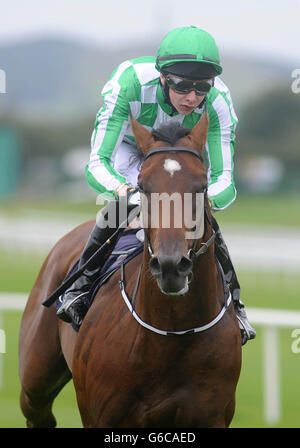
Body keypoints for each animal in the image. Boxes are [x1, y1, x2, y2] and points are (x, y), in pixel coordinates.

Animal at [18, 112, 241, 428]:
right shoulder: (102, 417)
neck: (173, 334)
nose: (170, 266)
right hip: (35, 382)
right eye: (143, 186)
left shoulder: (209, 416)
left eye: (202, 187)